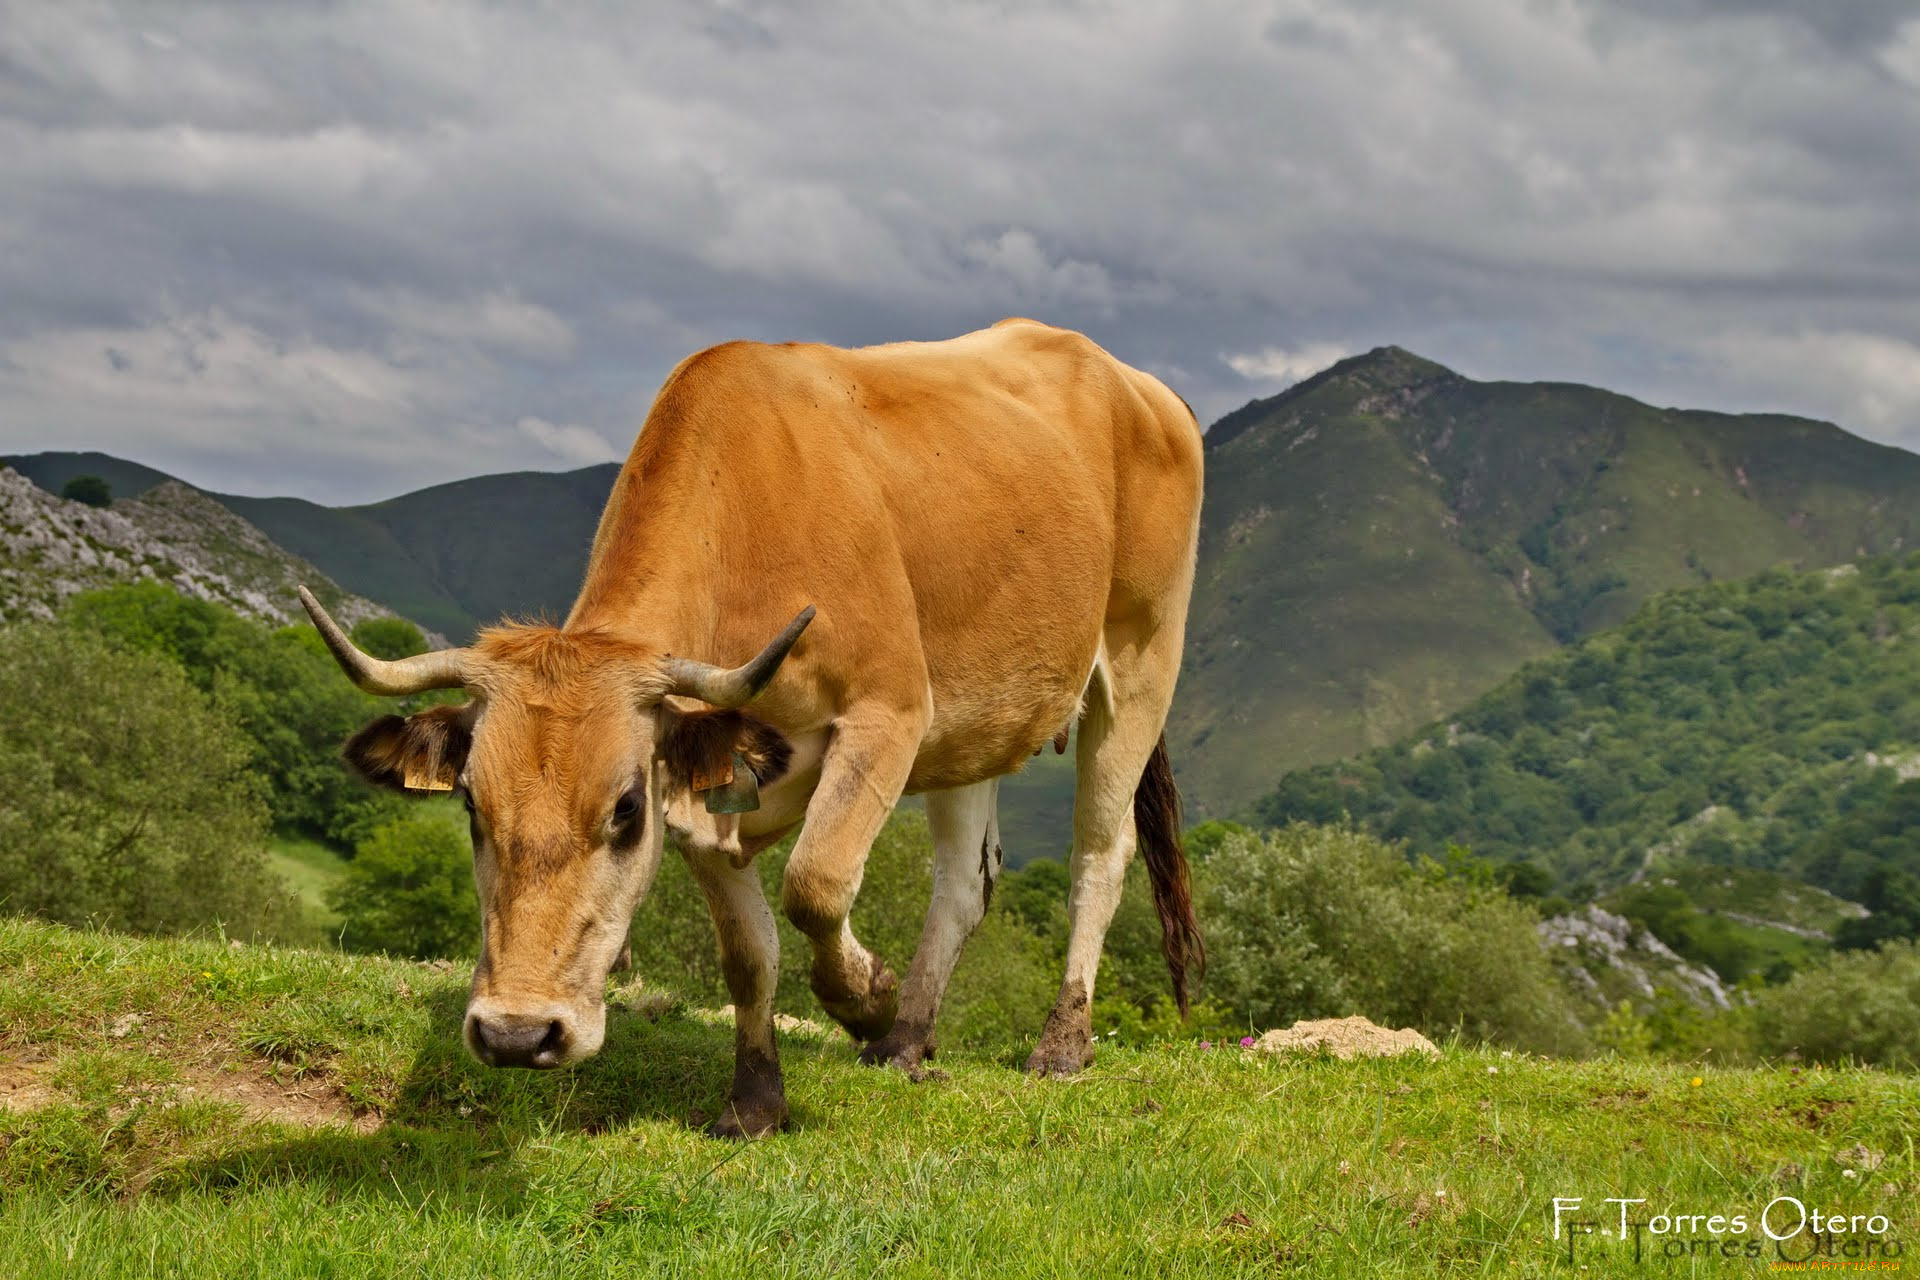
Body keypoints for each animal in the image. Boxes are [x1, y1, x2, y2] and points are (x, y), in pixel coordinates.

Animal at [298, 317, 1204, 1138]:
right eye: (471, 807)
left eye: (624, 811)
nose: (518, 1034)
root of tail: (1132, 380)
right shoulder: (703, 784)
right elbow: (748, 951)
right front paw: (758, 1097)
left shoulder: (889, 712)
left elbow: (816, 882)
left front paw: (864, 997)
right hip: (976, 719)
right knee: (964, 881)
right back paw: (908, 1039)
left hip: (1139, 660)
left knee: (1101, 853)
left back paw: (1059, 1041)